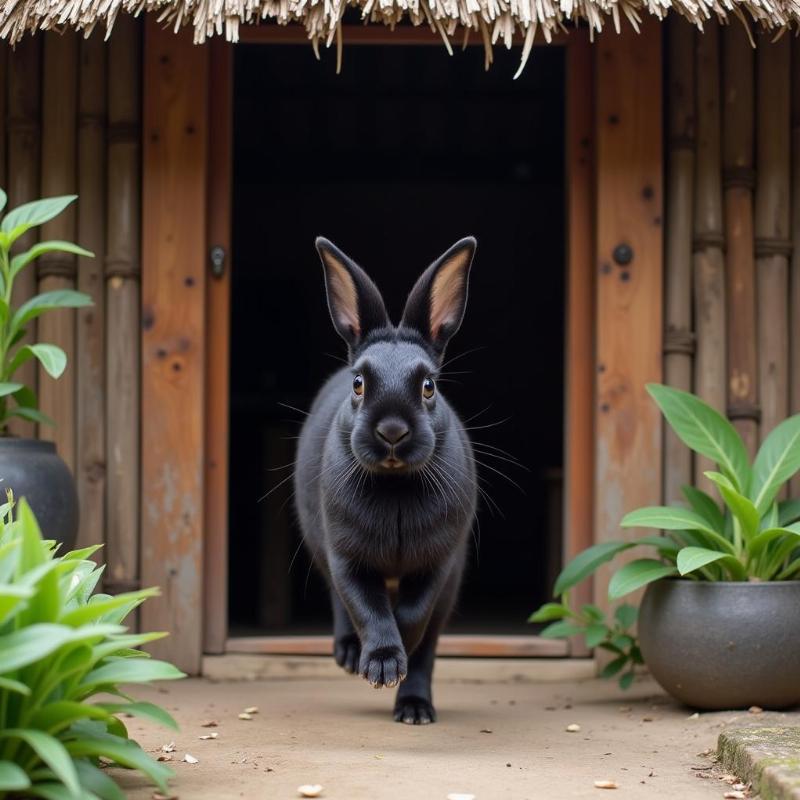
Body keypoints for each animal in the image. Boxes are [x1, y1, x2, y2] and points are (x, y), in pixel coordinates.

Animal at [296, 236, 478, 724]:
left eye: (429, 386)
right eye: (359, 383)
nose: (392, 431)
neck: (395, 484)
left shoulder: (439, 562)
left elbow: (413, 615)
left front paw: (397, 660)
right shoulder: (347, 556)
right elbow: (367, 607)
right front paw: (378, 663)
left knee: (429, 646)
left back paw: (414, 708)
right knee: (339, 600)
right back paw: (348, 653)